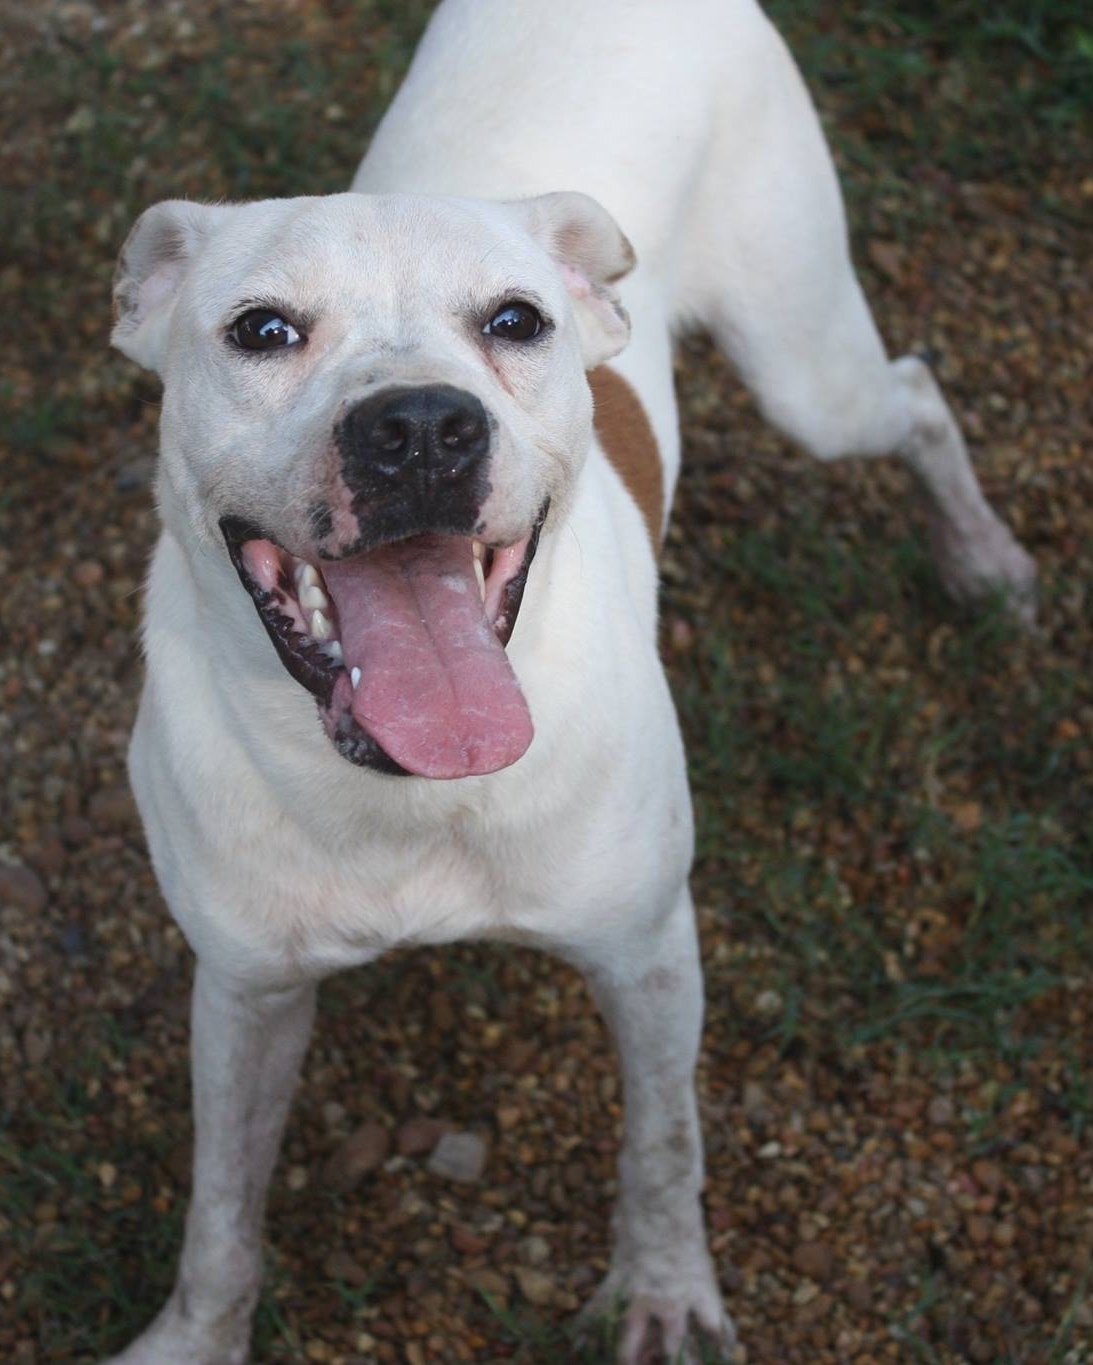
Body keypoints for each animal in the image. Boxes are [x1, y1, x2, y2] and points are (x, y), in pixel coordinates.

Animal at [102, 0, 1031, 1359]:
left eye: (515, 322)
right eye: (260, 329)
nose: (419, 427)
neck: (405, 790)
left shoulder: (647, 953)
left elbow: (664, 1147)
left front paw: (664, 1293)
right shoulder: (246, 991)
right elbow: (220, 1211)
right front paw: (194, 1338)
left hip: (807, 366)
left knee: (910, 398)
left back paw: (981, 560)